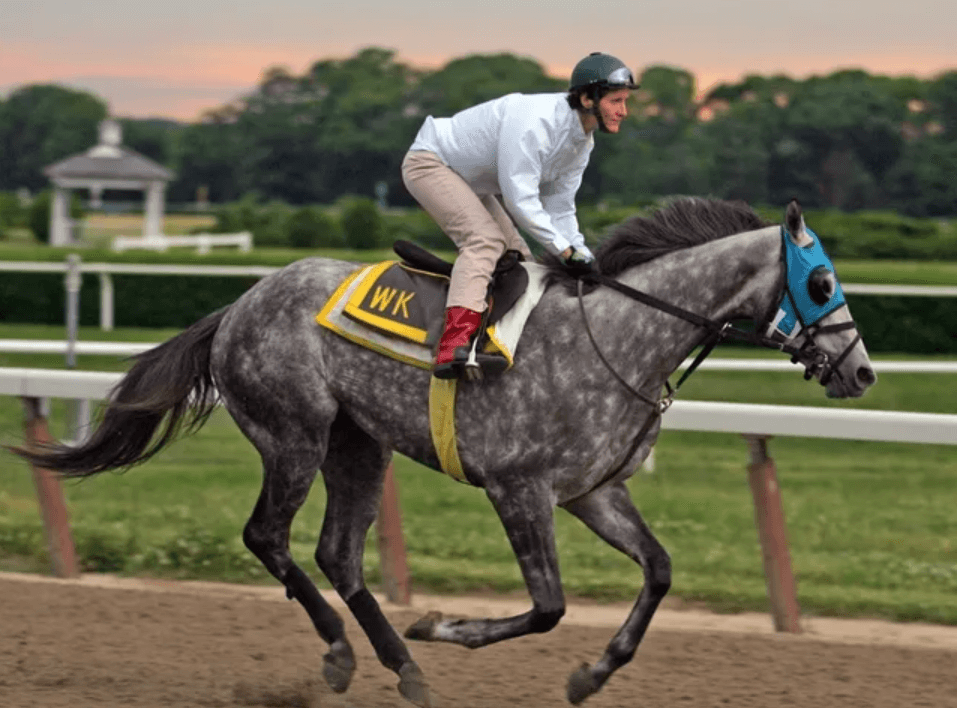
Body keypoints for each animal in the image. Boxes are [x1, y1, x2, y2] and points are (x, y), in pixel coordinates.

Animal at [11, 197, 876, 706]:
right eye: (821, 283)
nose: (861, 371)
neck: (621, 337)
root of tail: (239, 303)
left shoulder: (593, 492)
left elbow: (658, 570)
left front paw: (591, 673)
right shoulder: (518, 490)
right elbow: (547, 606)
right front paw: (442, 626)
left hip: (358, 445)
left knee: (337, 553)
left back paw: (403, 668)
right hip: (294, 433)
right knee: (268, 537)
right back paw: (345, 654)